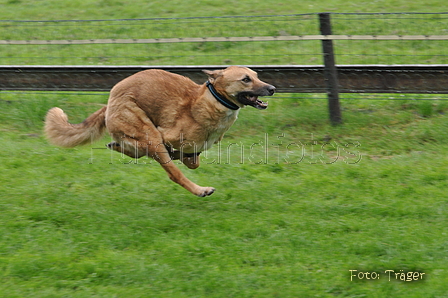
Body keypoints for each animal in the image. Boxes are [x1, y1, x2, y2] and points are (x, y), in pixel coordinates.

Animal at [46, 66, 276, 197]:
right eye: (245, 79)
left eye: (256, 76)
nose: (272, 88)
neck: (212, 101)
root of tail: (110, 101)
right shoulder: (165, 136)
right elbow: (178, 161)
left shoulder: (193, 150)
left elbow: (193, 161)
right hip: (150, 135)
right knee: (172, 172)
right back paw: (200, 190)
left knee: (130, 150)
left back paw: (117, 145)